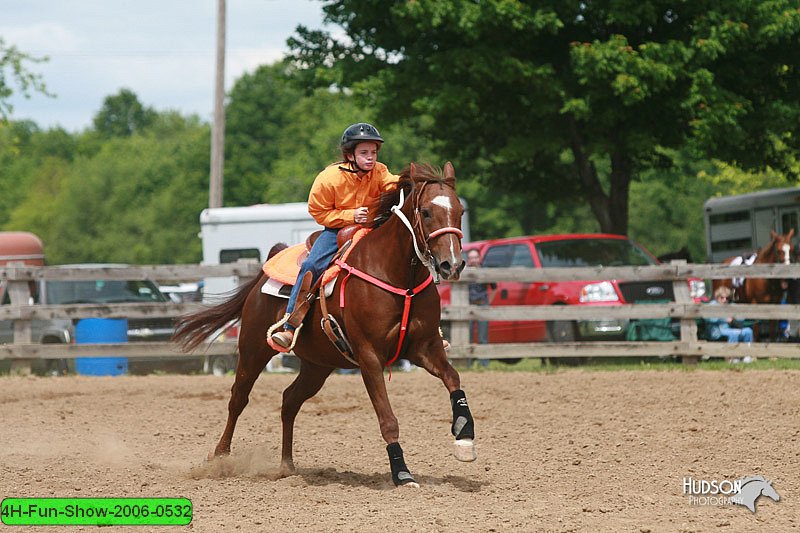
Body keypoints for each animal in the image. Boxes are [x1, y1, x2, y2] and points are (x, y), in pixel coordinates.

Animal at [173, 163, 476, 486]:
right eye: (427, 212)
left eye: (459, 211)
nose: (452, 264)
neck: (397, 277)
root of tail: (266, 268)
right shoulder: (369, 357)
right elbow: (387, 419)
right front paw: (402, 474)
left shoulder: (425, 348)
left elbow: (453, 378)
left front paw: (464, 437)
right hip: (254, 349)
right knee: (238, 398)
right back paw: (220, 458)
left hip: (317, 365)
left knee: (290, 400)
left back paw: (287, 466)